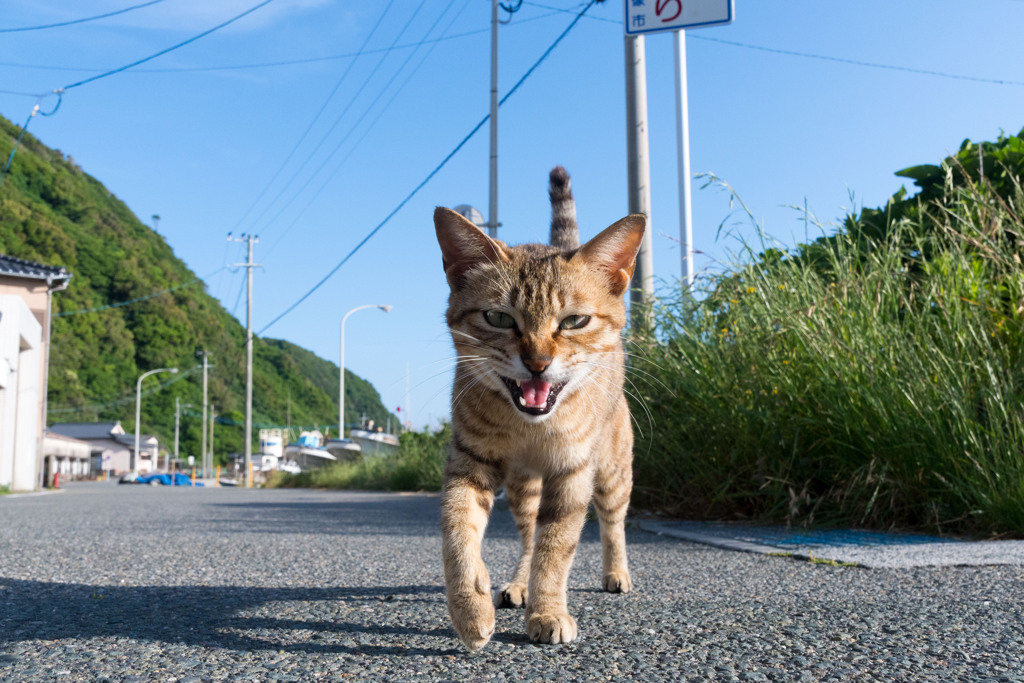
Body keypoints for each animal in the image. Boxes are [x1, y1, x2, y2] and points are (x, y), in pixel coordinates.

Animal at [434, 167, 643, 651]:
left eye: (574, 321)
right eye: (498, 318)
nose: (538, 362)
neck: (530, 428)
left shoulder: (572, 473)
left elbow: (556, 550)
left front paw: (548, 611)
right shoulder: (469, 461)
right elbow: (458, 531)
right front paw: (470, 610)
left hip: (613, 473)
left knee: (613, 525)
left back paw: (616, 573)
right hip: (523, 488)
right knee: (528, 536)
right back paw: (516, 583)